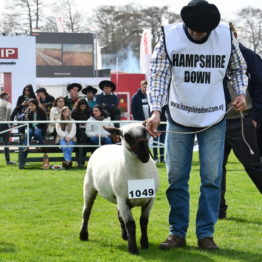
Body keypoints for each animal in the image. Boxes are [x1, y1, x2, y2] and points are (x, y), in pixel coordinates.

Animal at [79, 123, 159, 254]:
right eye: (126, 136)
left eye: (145, 131)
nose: (145, 155)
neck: (138, 174)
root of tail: (104, 146)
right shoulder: (122, 199)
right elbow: (130, 224)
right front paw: (133, 249)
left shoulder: (150, 199)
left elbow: (143, 221)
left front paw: (144, 243)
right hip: (89, 186)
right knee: (86, 212)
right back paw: (83, 235)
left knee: (119, 215)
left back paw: (125, 236)